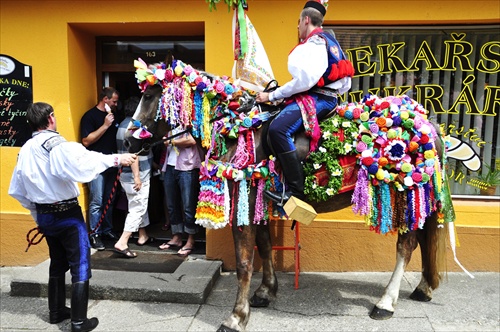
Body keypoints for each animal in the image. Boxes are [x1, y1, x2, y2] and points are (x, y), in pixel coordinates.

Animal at [125, 53, 458, 330]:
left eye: (150, 95)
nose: (128, 141)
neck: (235, 125)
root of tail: (428, 125)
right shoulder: (257, 199)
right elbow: (264, 246)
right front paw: (265, 292)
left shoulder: (245, 200)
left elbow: (244, 262)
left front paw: (236, 317)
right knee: (422, 241)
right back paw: (423, 288)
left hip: (406, 192)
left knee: (406, 246)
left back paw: (386, 303)